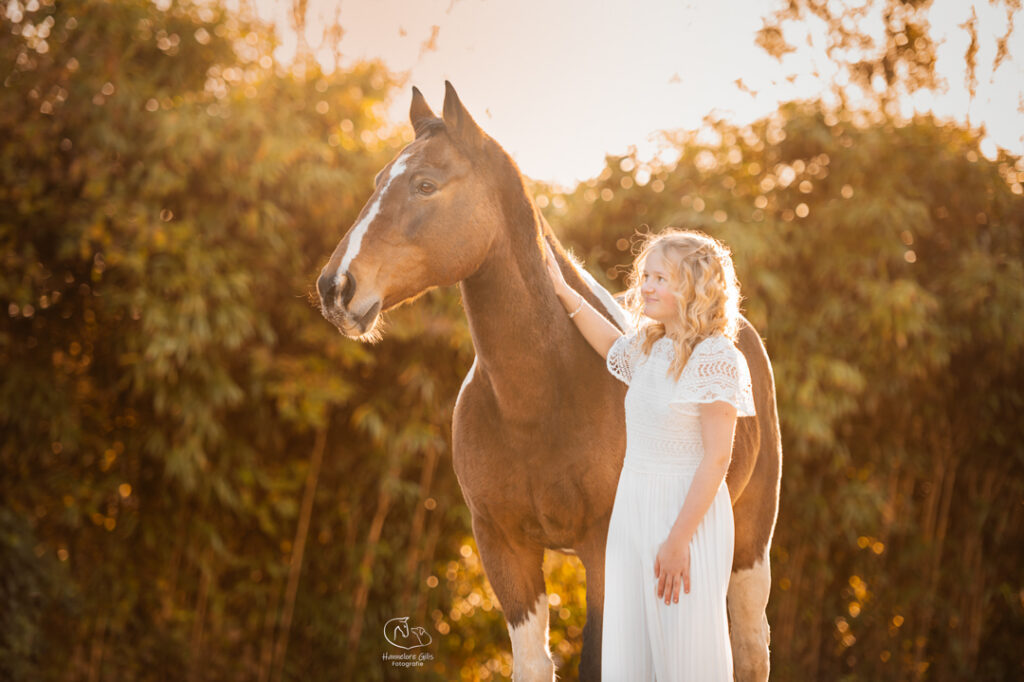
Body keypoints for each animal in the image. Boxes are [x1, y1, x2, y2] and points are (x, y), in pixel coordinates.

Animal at [316, 82, 781, 682]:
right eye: (377, 182)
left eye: (425, 185)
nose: (335, 288)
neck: (540, 398)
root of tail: (736, 326)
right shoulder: (503, 549)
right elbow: (533, 664)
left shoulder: (605, 550)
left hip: (749, 544)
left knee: (749, 647)